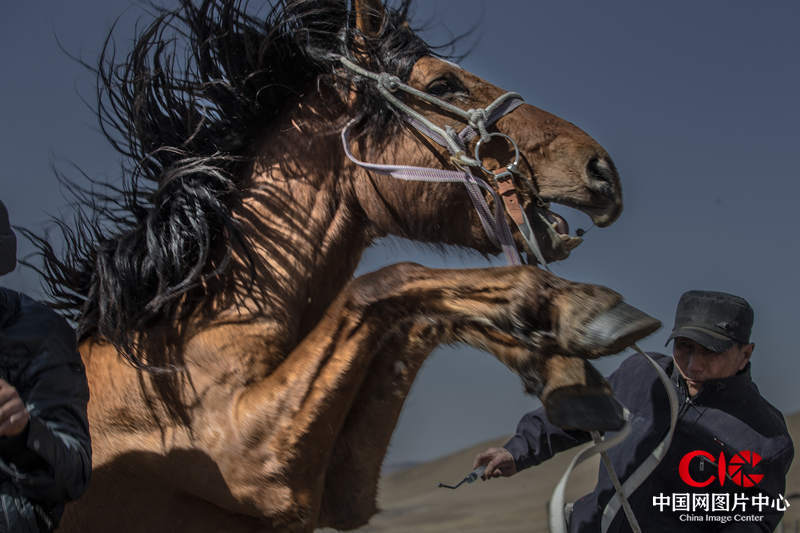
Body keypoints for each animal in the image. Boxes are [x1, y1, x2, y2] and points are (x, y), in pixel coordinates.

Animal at [32, 2, 656, 528]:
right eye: (443, 83)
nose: (602, 171)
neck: (184, 347)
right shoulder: (252, 461)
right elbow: (387, 283)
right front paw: (581, 312)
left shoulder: (333, 488)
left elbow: (414, 317)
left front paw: (565, 369)